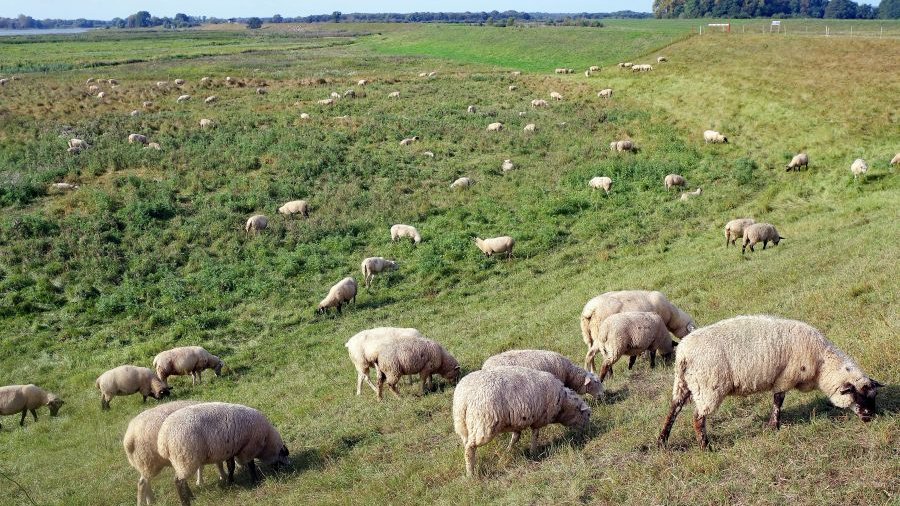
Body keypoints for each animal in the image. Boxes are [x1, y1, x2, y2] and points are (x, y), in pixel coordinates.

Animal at [157, 402, 289, 505]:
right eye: (283, 455)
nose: (286, 469)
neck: (267, 441)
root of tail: (163, 440)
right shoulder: (248, 448)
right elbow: (251, 466)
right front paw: (255, 481)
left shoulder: (231, 450)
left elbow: (231, 467)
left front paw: (230, 482)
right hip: (186, 458)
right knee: (178, 481)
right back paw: (186, 502)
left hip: (180, 460)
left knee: (182, 480)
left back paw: (191, 496)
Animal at [453, 366, 591, 477]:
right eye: (588, 415)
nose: (586, 432)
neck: (563, 404)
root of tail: (463, 399)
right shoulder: (539, 419)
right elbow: (535, 435)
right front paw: (534, 452)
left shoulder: (517, 421)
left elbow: (516, 437)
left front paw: (508, 450)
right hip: (484, 424)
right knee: (470, 448)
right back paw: (470, 474)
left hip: (464, 426)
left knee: (466, 444)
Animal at [658, 315, 882, 450]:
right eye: (856, 394)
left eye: (873, 395)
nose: (870, 416)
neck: (822, 363)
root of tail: (683, 353)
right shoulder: (785, 377)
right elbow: (778, 401)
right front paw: (774, 426)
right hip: (709, 386)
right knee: (697, 418)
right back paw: (706, 447)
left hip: (684, 383)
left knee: (673, 409)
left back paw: (662, 440)